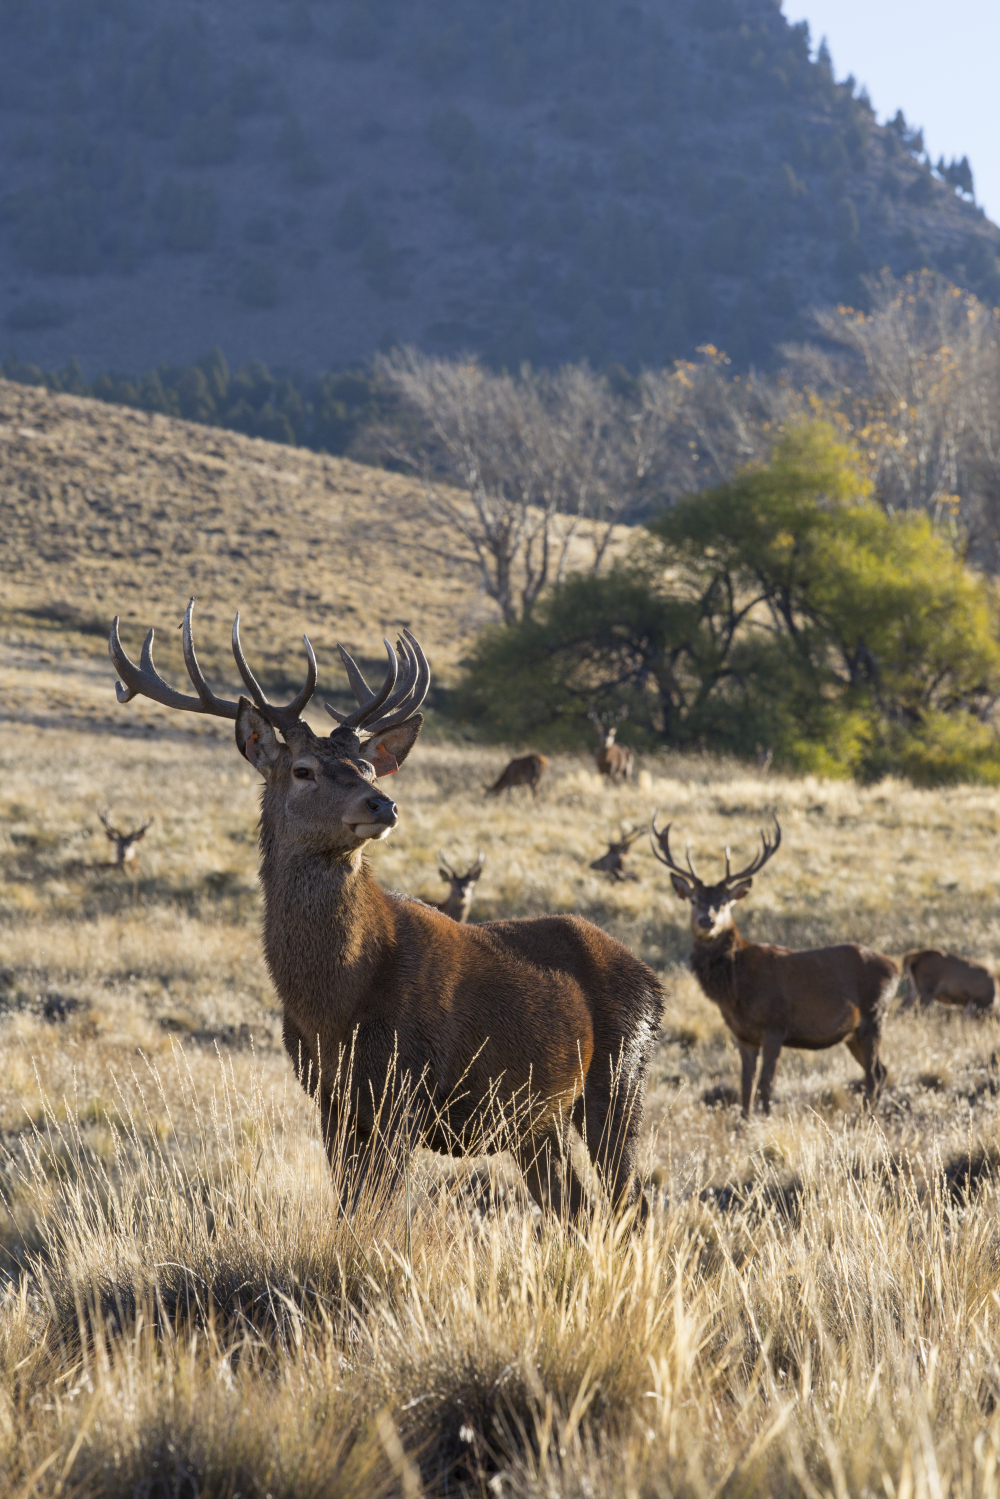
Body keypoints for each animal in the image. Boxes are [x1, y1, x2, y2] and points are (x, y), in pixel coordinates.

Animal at [111, 602, 665, 1223]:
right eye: (302, 769)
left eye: (368, 768)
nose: (383, 804)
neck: (331, 1003)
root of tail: (654, 981)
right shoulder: (330, 1096)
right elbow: (349, 1208)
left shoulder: (405, 1086)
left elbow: (377, 1213)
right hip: (536, 1119)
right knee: (574, 1204)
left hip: (621, 1075)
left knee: (630, 1201)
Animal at [650, 815, 899, 1121]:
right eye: (694, 900)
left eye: (724, 902)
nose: (707, 921)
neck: (736, 990)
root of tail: (896, 967)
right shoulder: (743, 1035)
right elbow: (745, 1084)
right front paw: (743, 1122)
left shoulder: (775, 1025)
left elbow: (765, 1084)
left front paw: (764, 1120)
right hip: (853, 1032)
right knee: (880, 1070)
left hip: (874, 1017)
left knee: (874, 1074)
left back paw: (867, 1119)